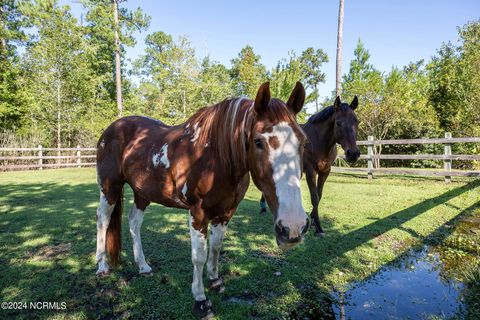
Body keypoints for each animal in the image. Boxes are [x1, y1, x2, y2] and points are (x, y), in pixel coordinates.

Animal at [95, 82, 310, 318]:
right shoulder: (197, 213)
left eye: (303, 142)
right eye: (258, 142)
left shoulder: (225, 213)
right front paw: (200, 299)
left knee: (134, 222)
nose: (293, 227)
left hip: (142, 193)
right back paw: (102, 267)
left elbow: (215, 248)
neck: (215, 158)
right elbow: (199, 255)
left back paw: (143, 267)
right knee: (103, 221)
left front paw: (215, 281)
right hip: (109, 188)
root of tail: (111, 129)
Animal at [260, 96, 358, 236]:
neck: (319, 141)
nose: (353, 154)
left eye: (357, 121)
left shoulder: (325, 171)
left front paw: (312, 218)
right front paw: (318, 227)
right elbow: (315, 197)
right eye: (338, 123)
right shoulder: (311, 171)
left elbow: (319, 194)